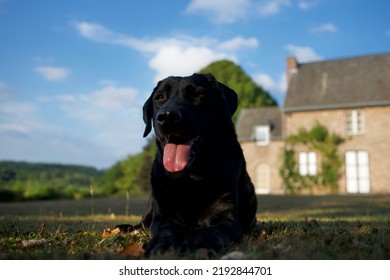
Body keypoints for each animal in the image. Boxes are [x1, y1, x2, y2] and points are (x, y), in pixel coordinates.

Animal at [139, 72, 256, 256]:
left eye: (199, 94)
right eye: (159, 97)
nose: (167, 116)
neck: (191, 178)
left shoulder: (228, 219)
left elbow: (210, 232)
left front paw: (195, 245)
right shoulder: (163, 214)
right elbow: (165, 229)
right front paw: (162, 244)